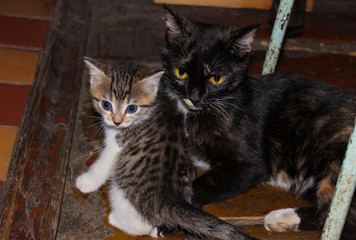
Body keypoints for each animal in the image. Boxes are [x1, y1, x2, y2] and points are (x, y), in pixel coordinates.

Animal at [76, 58, 258, 240]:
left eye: (131, 108)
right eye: (106, 104)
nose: (117, 121)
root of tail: (170, 199)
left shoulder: (116, 146)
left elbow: (103, 164)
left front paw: (86, 182)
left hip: (121, 188)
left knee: (141, 224)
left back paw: (116, 219)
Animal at [161, 6, 356, 240]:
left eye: (216, 78)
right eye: (181, 72)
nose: (195, 97)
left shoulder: (249, 166)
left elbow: (198, 185)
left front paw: (172, 216)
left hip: (336, 167)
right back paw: (281, 219)